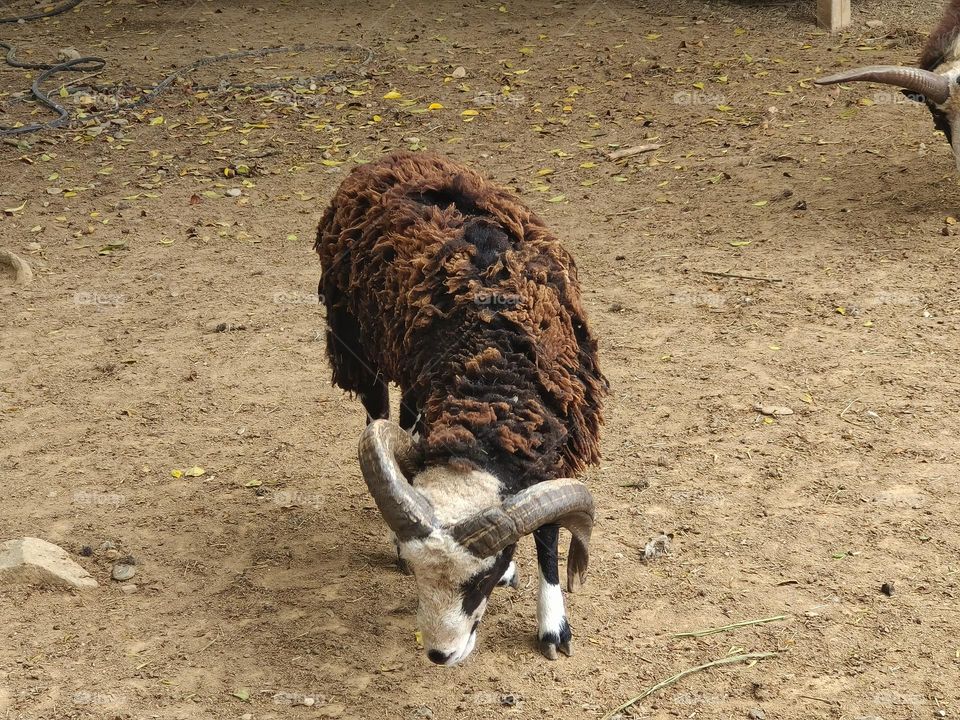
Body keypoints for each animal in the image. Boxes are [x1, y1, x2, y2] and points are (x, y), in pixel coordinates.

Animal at [314, 152, 607, 665]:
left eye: (482, 577)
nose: (439, 654)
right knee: (379, 409)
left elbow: (549, 536)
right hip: (359, 348)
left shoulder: (553, 446)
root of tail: (388, 157)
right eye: (416, 575)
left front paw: (554, 627)